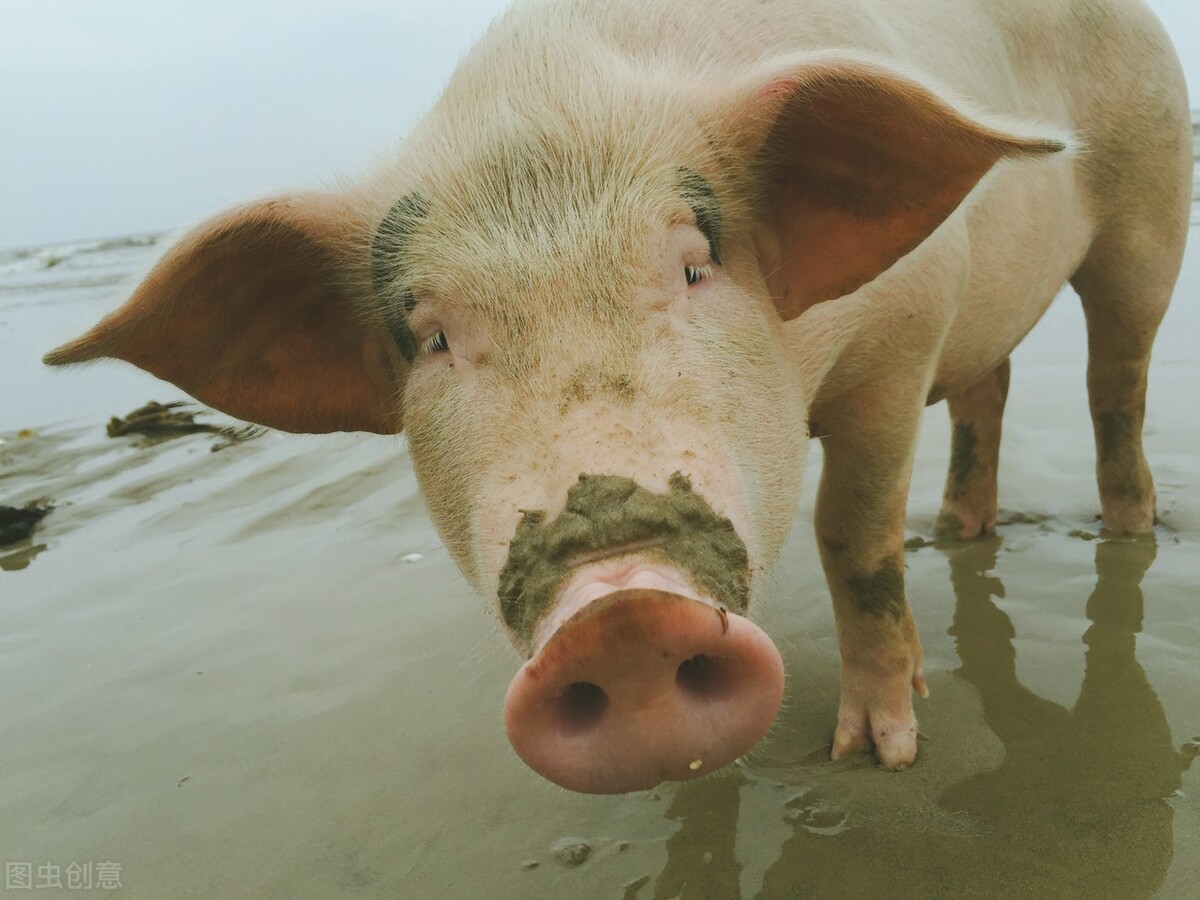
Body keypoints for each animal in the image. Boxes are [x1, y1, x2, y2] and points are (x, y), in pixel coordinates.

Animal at [46, 0, 1190, 792]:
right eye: (433, 339)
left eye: (692, 267)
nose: (621, 610)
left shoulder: (904, 335)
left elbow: (853, 539)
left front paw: (882, 755)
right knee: (992, 386)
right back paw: (958, 531)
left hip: (1152, 206)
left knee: (1116, 380)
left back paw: (1131, 535)